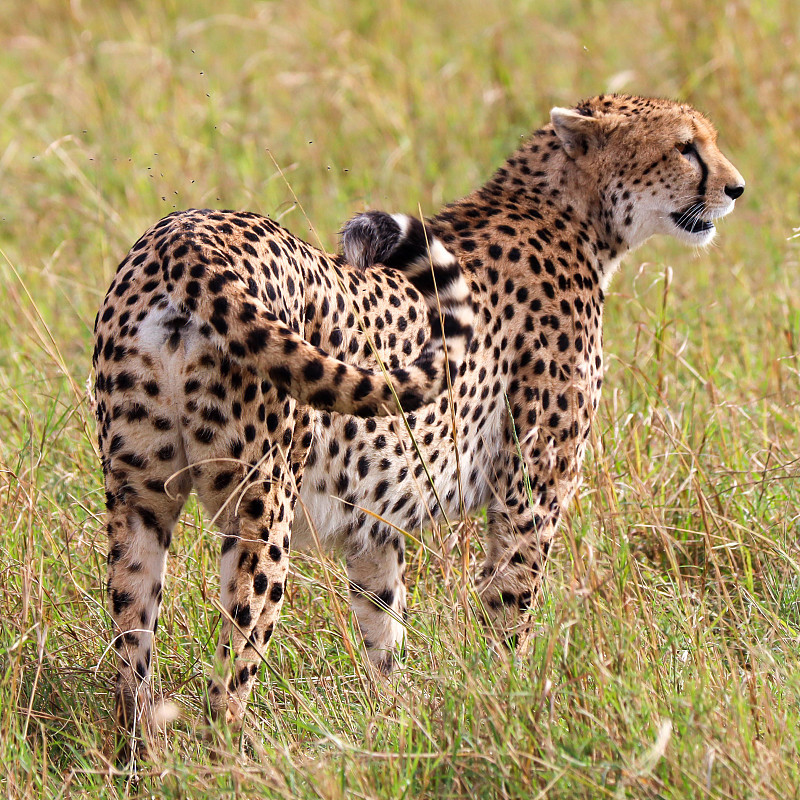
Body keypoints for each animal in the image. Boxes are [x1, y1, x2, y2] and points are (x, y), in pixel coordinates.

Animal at [92, 94, 744, 752]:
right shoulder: (530, 496)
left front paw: (393, 720)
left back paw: (140, 752)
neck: (573, 215)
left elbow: (382, 624)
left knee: (131, 650)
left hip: (137, 496)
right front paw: (507, 707)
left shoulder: (372, 517)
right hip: (262, 505)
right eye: (685, 147)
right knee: (235, 663)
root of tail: (189, 235)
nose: (736, 188)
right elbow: (511, 608)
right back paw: (234, 755)